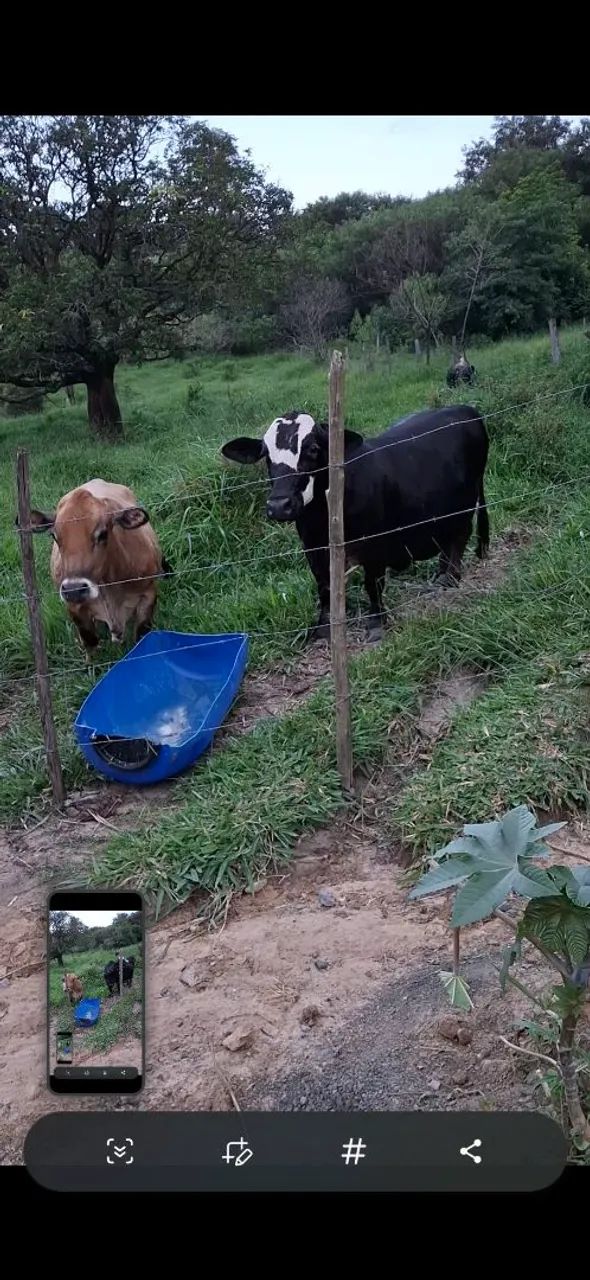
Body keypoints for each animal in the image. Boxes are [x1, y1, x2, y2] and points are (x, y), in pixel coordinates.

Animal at [22, 480, 167, 658]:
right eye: (54, 536)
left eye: (102, 534)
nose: (74, 589)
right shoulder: (75, 608)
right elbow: (90, 642)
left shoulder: (148, 594)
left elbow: (142, 635)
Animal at [221, 406, 489, 641]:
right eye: (267, 455)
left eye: (313, 449)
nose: (279, 505)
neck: (323, 519)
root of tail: (465, 409)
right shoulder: (313, 549)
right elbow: (325, 588)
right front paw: (323, 628)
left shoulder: (375, 546)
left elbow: (373, 584)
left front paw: (377, 623)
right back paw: (441, 574)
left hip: (467, 501)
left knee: (460, 537)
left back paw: (449, 578)